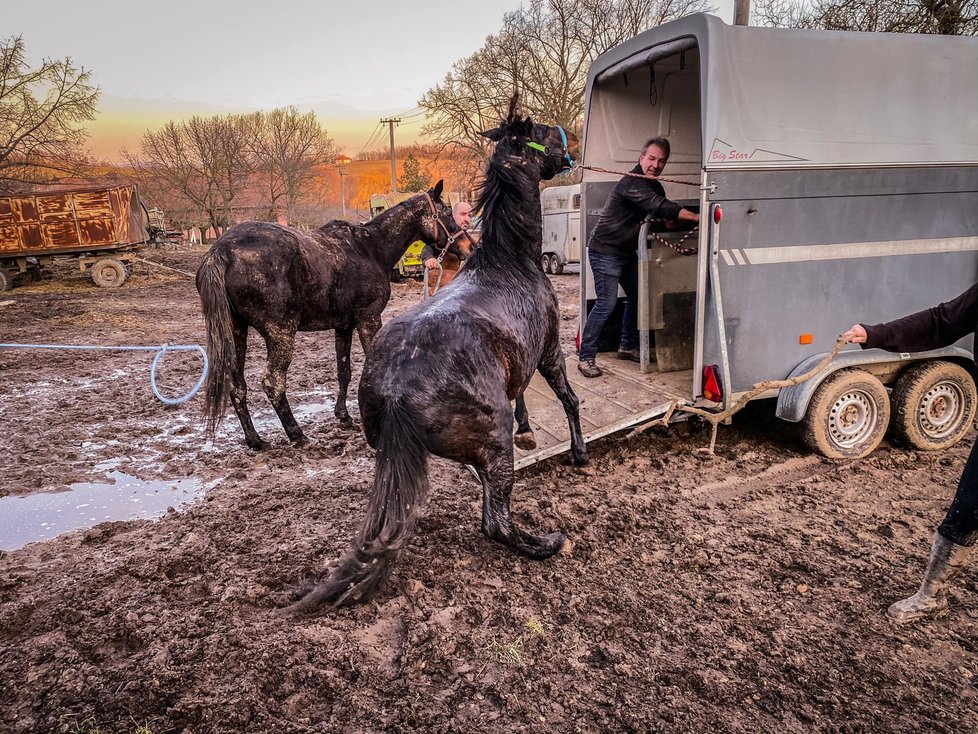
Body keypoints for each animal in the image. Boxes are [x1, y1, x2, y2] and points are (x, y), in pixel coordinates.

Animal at [199, 181, 462, 452]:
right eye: (447, 212)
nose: (463, 244)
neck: (369, 249)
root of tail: (223, 250)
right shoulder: (369, 319)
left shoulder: (344, 326)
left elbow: (343, 371)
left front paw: (343, 415)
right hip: (280, 334)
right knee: (273, 383)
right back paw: (297, 434)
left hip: (236, 332)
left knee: (237, 386)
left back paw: (255, 440)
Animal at [290, 99, 588, 616]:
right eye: (542, 131)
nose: (568, 142)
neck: (508, 262)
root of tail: (395, 393)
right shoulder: (550, 352)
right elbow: (568, 400)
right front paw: (579, 453)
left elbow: (527, 400)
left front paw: (533, 429)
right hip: (496, 445)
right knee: (495, 521)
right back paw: (546, 543)